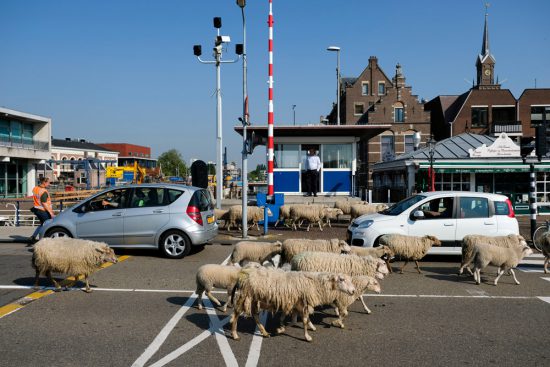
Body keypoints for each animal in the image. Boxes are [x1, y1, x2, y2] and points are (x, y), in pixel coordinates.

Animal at [230, 268, 358, 342]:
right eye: (341, 279)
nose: (353, 291)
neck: (315, 283)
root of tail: (242, 276)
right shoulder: (303, 302)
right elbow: (304, 320)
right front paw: (307, 337)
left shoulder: (296, 303)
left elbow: (293, 320)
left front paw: (281, 328)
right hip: (244, 296)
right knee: (236, 314)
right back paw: (235, 335)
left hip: (253, 299)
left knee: (255, 315)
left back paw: (265, 333)